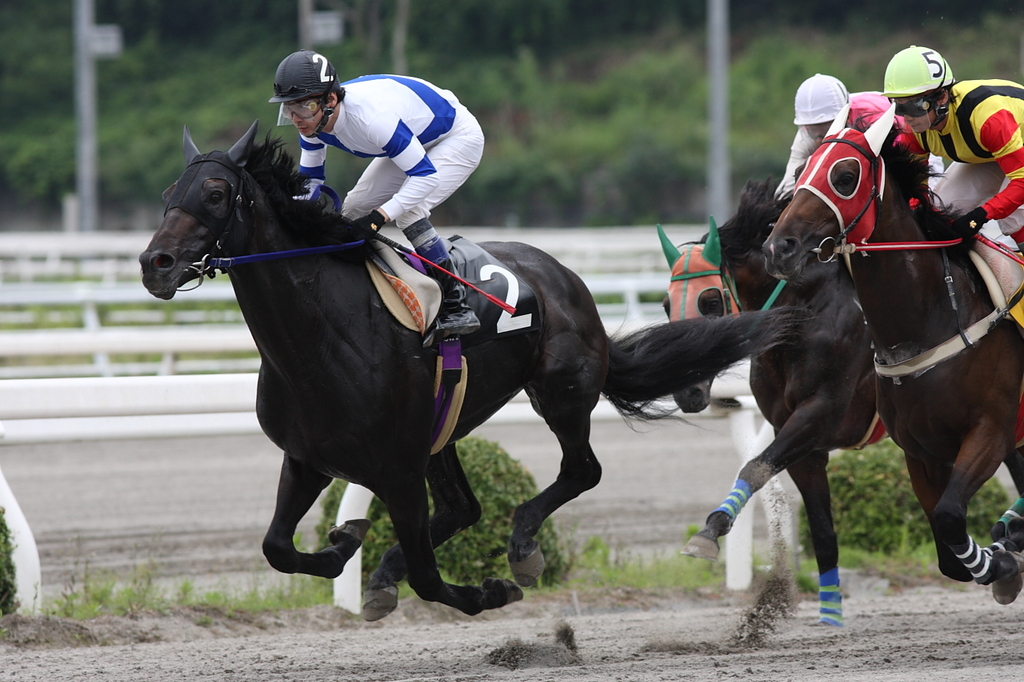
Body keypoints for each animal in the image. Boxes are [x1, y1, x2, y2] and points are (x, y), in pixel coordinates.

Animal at [140, 120, 786, 614]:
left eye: (216, 193)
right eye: (171, 189)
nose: (155, 263)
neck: (318, 339)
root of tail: (566, 279)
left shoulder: (397, 470)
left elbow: (428, 578)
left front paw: (486, 591)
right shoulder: (307, 458)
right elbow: (277, 547)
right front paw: (345, 542)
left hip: (560, 392)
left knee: (581, 471)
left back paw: (521, 548)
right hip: (444, 424)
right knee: (463, 507)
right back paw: (385, 571)